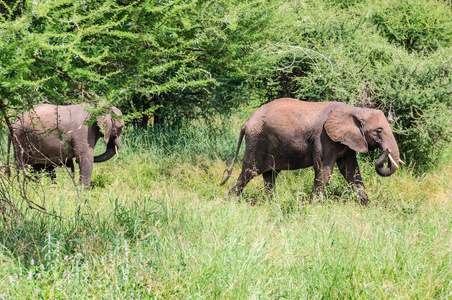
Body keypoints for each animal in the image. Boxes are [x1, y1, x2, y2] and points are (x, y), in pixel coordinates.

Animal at [221, 98, 404, 204]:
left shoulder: (345, 140)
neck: (355, 110)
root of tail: (246, 122)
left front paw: (365, 204)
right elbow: (324, 169)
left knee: (270, 175)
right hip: (257, 141)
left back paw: (272, 203)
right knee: (249, 172)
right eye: (378, 131)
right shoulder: (324, 138)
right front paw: (314, 205)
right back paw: (228, 201)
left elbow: (350, 170)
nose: (385, 152)